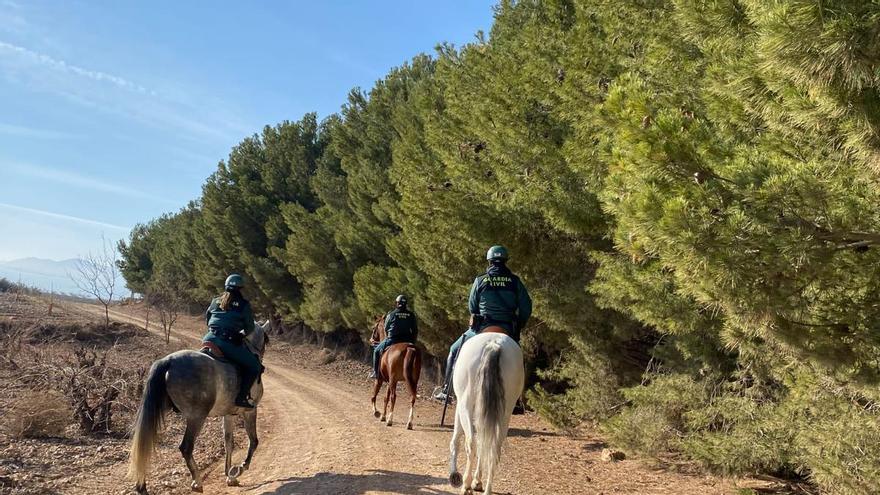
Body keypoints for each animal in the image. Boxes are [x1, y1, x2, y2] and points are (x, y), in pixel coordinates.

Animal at [129, 322, 268, 492]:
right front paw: (239, 469)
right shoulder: (250, 411)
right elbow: (253, 441)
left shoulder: (229, 414)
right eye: (266, 339)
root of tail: (168, 361)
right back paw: (197, 481)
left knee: (145, 444)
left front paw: (229, 476)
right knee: (186, 447)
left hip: (158, 410)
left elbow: (228, 443)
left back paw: (141, 486)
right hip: (196, 417)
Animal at [446, 330, 524, 495]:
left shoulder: (460, 408)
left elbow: (456, 440)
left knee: (471, 443)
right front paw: (478, 481)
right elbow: (483, 443)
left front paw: (455, 475)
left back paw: (466, 485)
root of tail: (494, 344)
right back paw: (486, 488)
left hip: (466, 405)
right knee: (494, 449)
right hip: (504, 414)